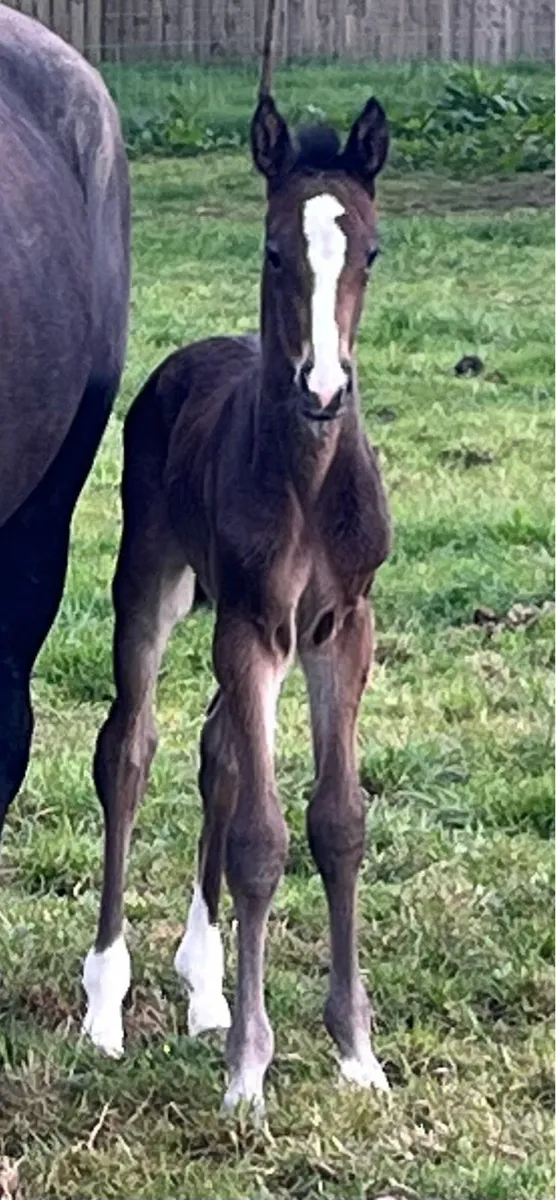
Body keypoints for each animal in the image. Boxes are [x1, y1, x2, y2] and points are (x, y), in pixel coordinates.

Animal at [82, 76, 391, 1115]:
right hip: (154, 586)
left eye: (371, 250)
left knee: (217, 750)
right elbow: (262, 838)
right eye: (273, 249)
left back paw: (206, 984)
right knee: (129, 749)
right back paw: (105, 1004)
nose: (323, 389)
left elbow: (337, 823)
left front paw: (355, 1054)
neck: (308, 478)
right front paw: (250, 1074)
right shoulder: (255, 628)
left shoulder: (342, 631)